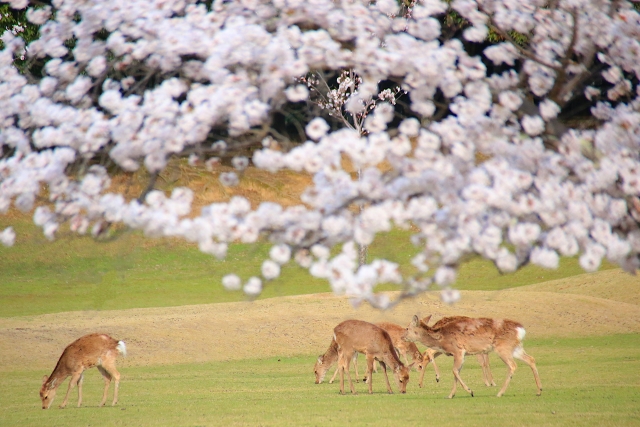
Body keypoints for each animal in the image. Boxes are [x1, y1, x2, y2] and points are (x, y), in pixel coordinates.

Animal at [404, 314, 540, 402]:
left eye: (407, 328)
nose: (402, 336)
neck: (443, 338)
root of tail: (521, 329)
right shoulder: (461, 354)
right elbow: (456, 372)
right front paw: (451, 395)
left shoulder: (459, 351)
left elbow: (454, 371)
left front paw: (470, 391)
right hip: (516, 348)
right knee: (531, 359)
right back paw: (539, 390)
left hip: (503, 348)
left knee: (512, 365)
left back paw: (500, 393)